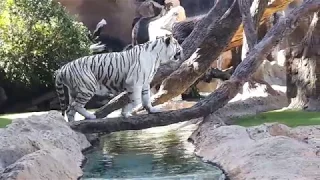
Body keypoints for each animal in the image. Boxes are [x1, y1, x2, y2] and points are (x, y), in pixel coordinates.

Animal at [53, 34, 181, 121]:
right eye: (176, 43)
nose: (181, 48)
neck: (157, 57)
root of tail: (62, 69)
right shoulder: (134, 83)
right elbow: (136, 101)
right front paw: (126, 112)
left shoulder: (144, 84)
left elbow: (146, 99)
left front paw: (152, 110)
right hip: (87, 87)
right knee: (76, 106)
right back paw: (91, 116)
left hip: (73, 91)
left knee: (70, 109)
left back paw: (73, 124)